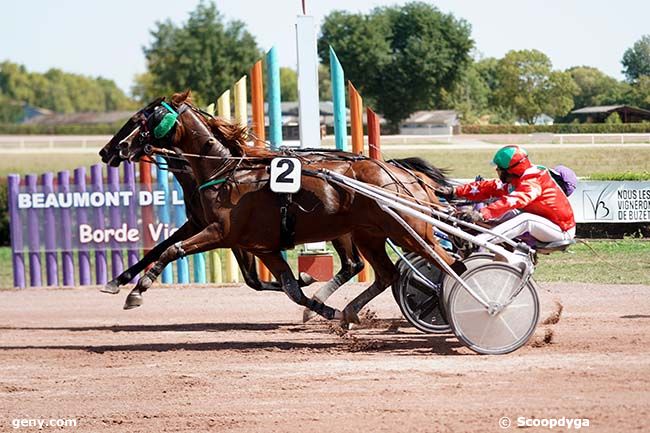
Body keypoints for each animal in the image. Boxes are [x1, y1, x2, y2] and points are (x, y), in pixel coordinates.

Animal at [116, 93, 460, 326]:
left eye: (144, 118)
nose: (115, 148)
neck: (228, 173)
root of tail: (404, 175)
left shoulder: (218, 232)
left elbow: (172, 250)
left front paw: (137, 290)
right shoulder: (260, 246)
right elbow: (289, 288)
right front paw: (325, 308)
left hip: (407, 230)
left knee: (446, 262)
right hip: (370, 235)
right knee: (386, 273)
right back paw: (350, 310)